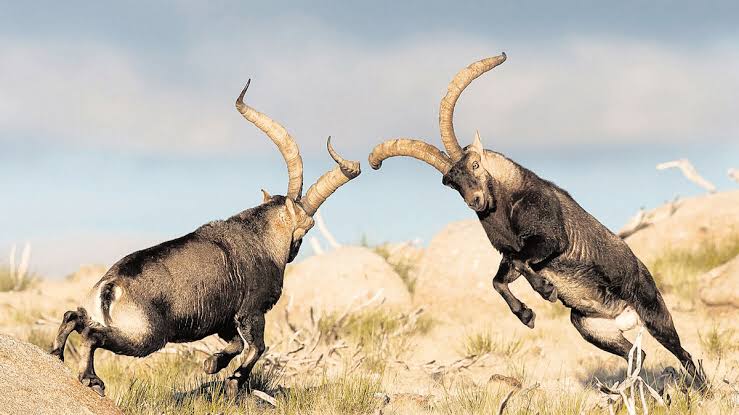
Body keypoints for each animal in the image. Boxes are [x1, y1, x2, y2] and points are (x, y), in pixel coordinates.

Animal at [50, 80, 361, 397]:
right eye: (306, 227)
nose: (294, 250)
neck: (260, 238)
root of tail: (110, 287)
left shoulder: (225, 320)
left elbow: (236, 343)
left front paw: (212, 364)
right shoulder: (251, 311)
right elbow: (257, 347)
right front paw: (234, 380)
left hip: (112, 323)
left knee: (72, 316)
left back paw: (56, 355)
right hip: (144, 337)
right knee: (91, 335)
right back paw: (92, 379)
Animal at [368, 54, 706, 386]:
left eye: (475, 164)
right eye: (451, 182)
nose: (475, 200)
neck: (506, 206)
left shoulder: (550, 238)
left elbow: (523, 261)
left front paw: (545, 289)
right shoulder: (508, 254)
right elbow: (499, 279)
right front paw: (527, 315)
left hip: (654, 313)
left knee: (683, 353)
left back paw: (700, 388)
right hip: (589, 326)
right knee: (637, 355)